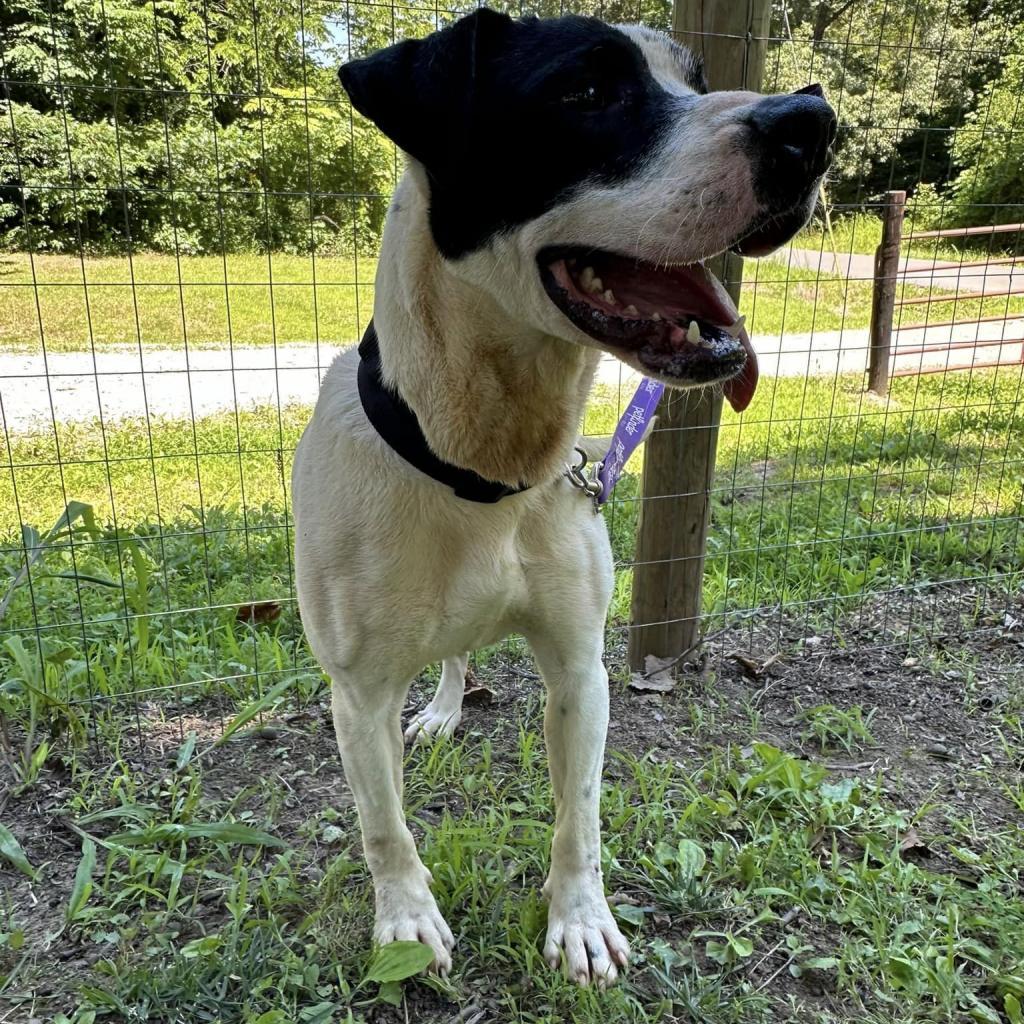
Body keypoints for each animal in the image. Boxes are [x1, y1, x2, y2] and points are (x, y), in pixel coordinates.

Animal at [292, 8, 835, 983]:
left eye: (695, 82)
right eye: (584, 91)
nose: (810, 124)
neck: (485, 467)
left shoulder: (583, 668)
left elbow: (577, 816)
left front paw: (579, 920)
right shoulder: (356, 696)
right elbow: (385, 827)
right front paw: (407, 920)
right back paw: (439, 711)